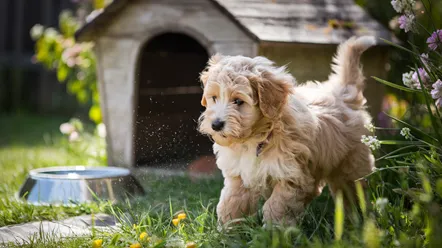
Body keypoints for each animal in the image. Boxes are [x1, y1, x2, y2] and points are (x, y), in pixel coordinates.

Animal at [199, 36, 374, 225]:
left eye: (238, 101)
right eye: (214, 98)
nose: (216, 124)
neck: (258, 137)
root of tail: (343, 93)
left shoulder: (291, 177)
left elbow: (277, 206)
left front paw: (275, 229)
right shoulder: (239, 175)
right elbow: (232, 203)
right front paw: (227, 229)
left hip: (352, 165)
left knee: (353, 191)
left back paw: (357, 219)